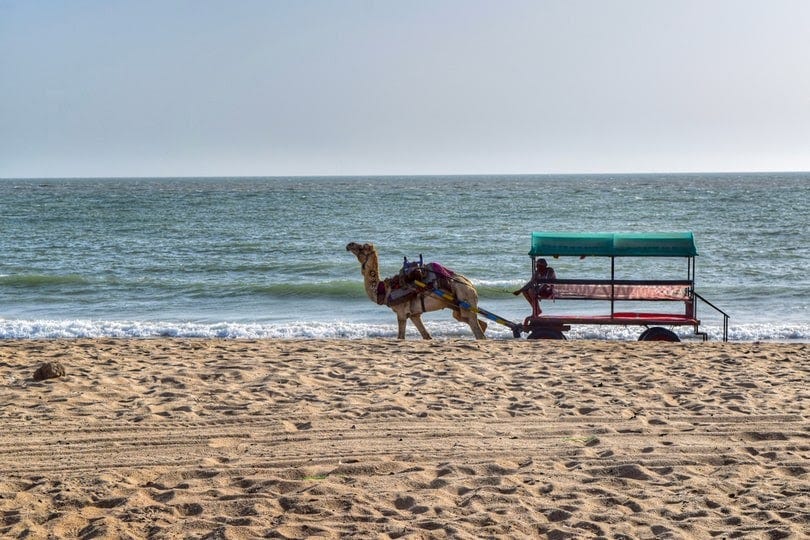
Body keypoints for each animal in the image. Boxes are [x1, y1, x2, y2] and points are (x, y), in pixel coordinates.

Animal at [342, 243, 482, 340]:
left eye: (362, 247)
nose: (349, 245)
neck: (385, 290)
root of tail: (471, 286)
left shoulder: (401, 312)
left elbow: (400, 337)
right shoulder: (414, 314)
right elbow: (426, 336)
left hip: (465, 299)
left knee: (478, 331)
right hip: (457, 308)